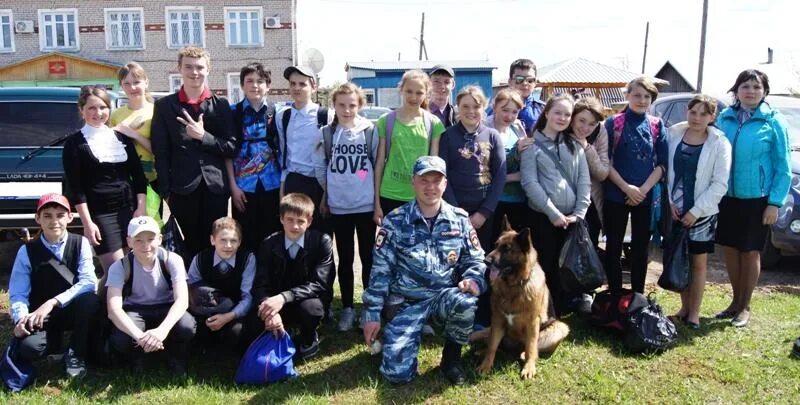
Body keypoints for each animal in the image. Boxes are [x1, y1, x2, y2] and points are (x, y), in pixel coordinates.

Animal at [476, 219, 568, 378]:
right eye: (495, 245)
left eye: (507, 249)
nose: (485, 260)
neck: (514, 286)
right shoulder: (497, 319)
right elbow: (492, 345)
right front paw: (486, 365)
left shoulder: (532, 323)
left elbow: (531, 347)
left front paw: (529, 368)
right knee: (496, 344)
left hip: (559, 328)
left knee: (533, 348)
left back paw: (525, 355)